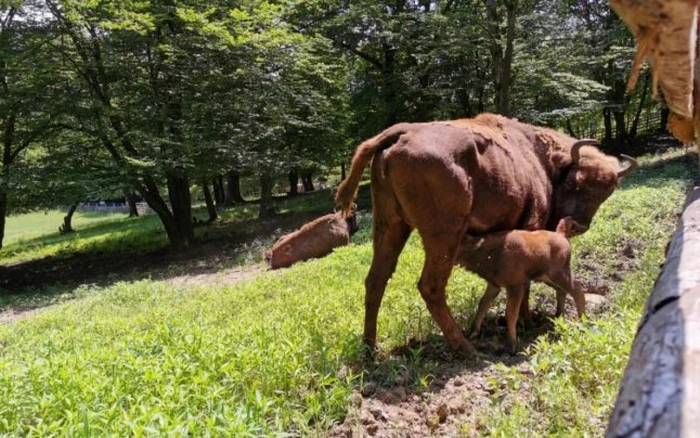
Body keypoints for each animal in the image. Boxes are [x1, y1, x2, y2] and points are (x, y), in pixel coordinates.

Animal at [456, 217, 584, 354]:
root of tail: (561, 235)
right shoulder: (495, 285)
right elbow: (483, 304)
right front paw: (473, 333)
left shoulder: (515, 285)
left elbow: (511, 313)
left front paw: (511, 345)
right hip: (546, 278)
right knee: (561, 291)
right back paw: (558, 317)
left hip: (559, 274)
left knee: (577, 289)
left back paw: (583, 321)